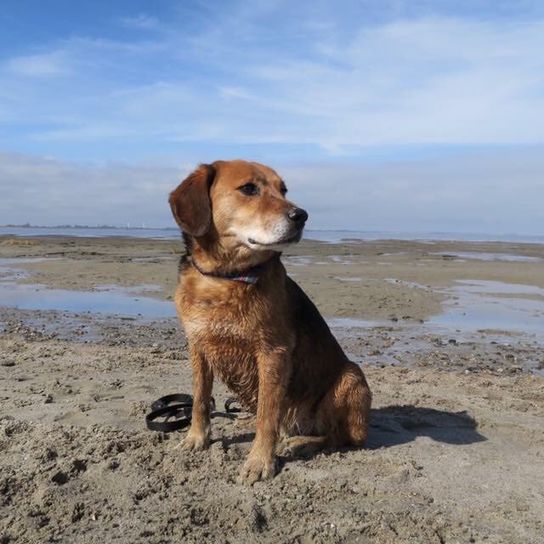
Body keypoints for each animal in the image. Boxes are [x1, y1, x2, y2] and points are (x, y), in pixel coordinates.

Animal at [170, 159, 372, 482]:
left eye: (283, 189)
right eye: (248, 189)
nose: (301, 215)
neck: (226, 278)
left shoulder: (272, 354)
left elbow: (268, 414)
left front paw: (260, 461)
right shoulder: (198, 347)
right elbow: (200, 399)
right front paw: (196, 438)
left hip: (350, 378)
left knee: (338, 436)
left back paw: (301, 443)